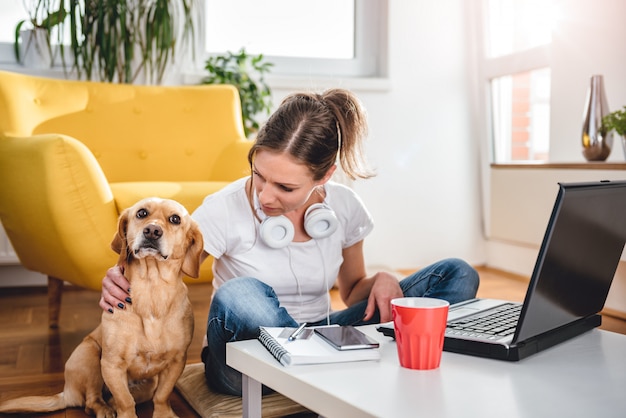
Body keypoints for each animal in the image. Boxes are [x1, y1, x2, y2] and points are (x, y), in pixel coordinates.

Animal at [0, 197, 202, 418]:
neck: (151, 289)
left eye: (175, 219)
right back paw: (105, 409)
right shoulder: (111, 364)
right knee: (91, 400)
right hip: (89, 354)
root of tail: (67, 392)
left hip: (147, 381)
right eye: (141, 213)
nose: (152, 231)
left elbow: (162, 395)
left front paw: (164, 414)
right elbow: (126, 401)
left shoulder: (176, 361)